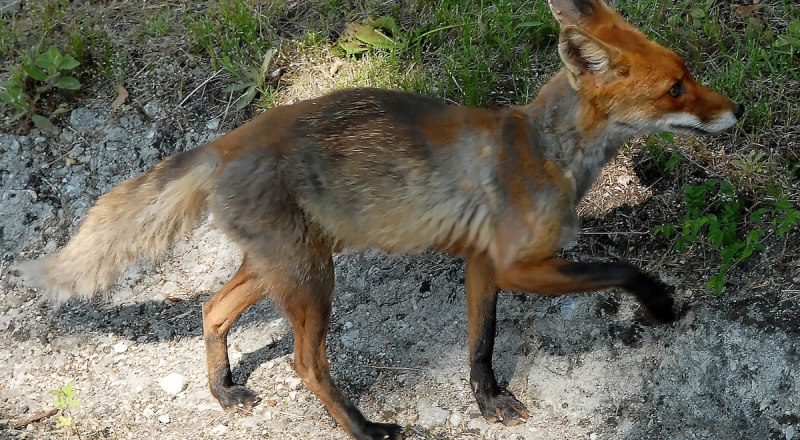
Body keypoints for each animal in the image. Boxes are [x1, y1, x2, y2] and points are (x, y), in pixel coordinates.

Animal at [20, 0, 744, 436]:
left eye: (688, 74)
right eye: (675, 89)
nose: (735, 110)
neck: (548, 152)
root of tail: (231, 138)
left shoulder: (482, 264)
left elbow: (480, 344)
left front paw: (488, 401)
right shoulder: (522, 265)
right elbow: (619, 266)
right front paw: (659, 301)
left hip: (282, 267)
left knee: (210, 310)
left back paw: (223, 391)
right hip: (311, 279)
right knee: (304, 363)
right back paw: (364, 428)